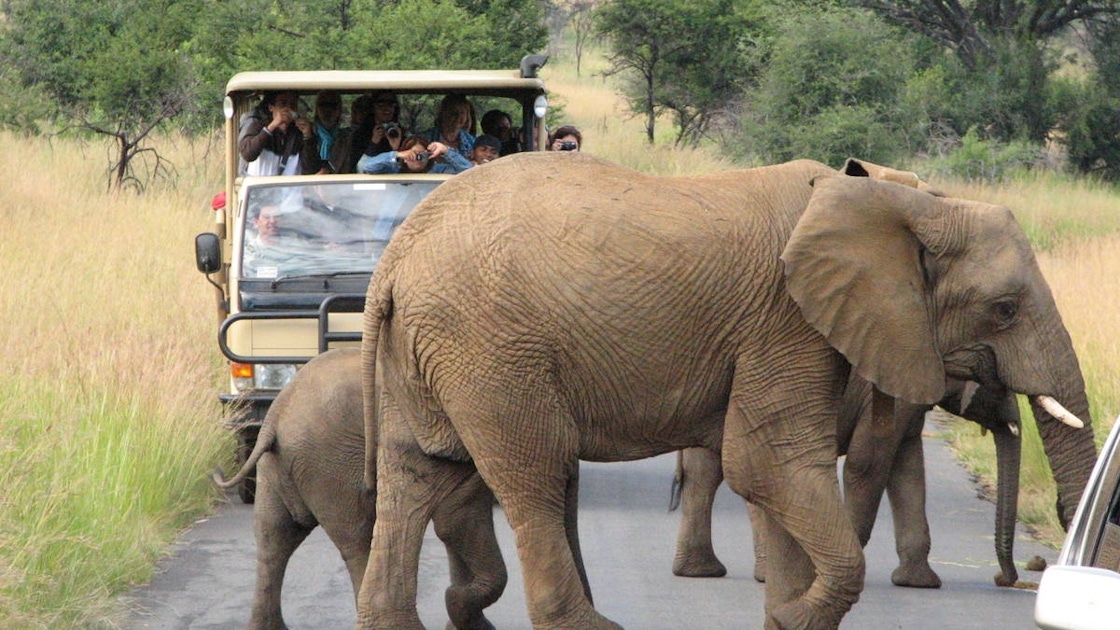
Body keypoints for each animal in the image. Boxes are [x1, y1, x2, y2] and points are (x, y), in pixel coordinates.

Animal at [358, 153, 1093, 627]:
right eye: (1004, 309)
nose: (1015, 574)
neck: (907, 205)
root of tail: (394, 258)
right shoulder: (788, 319)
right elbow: (771, 463)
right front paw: (796, 613)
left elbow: (779, 470)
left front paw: (787, 609)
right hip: (487, 346)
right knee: (534, 475)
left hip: (427, 353)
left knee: (412, 476)